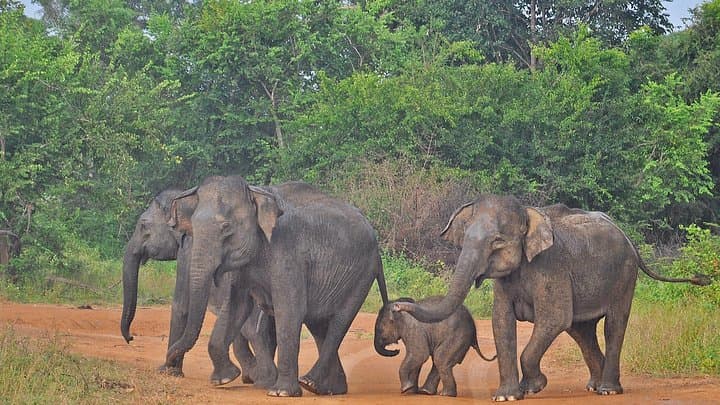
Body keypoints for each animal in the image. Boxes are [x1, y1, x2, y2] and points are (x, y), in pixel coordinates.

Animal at [119, 188, 277, 387]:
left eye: (143, 225)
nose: (131, 338)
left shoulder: (187, 252)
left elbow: (180, 307)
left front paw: (168, 371)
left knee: (253, 332)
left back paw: (261, 379)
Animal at [165, 176, 390, 397]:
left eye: (226, 227)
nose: (168, 367)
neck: (255, 192)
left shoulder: (288, 252)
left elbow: (288, 311)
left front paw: (280, 392)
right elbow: (236, 308)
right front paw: (224, 379)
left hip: (361, 275)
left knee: (338, 322)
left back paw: (310, 383)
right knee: (318, 324)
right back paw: (328, 389)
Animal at [394, 195, 711, 401]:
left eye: (497, 242)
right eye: (464, 240)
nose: (397, 305)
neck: (528, 213)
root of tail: (627, 236)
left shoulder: (551, 266)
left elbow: (553, 318)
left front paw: (533, 387)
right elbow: (501, 322)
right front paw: (506, 397)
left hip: (624, 275)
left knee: (612, 325)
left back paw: (608, 389)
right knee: (581, 331)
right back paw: (594, 386)